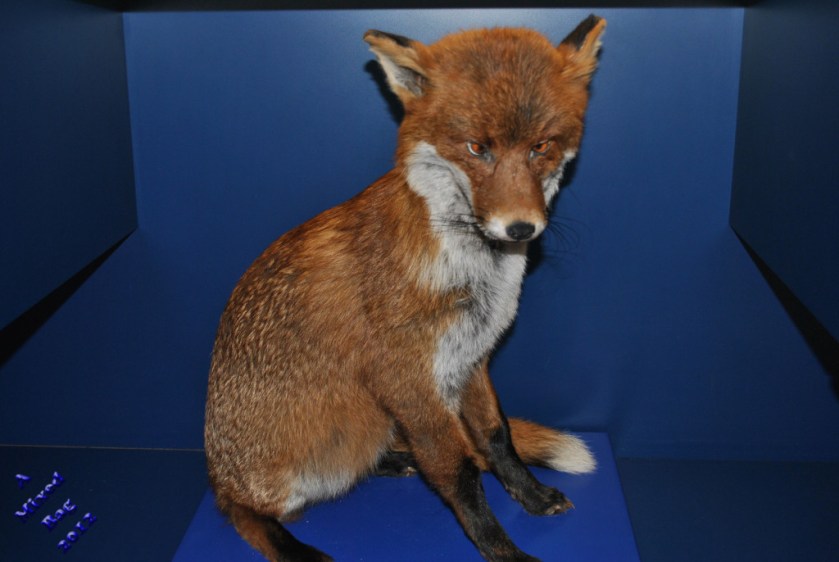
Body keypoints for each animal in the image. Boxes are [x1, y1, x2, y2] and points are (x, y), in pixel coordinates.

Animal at [205, 15, 606, 562]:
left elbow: (497, 440)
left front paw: (533, 496)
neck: (474, 274)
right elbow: (459, 471)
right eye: (477, 148)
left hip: (372, 421)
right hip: (310, 455)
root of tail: (215, 468)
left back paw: (390, 462)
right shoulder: (407, 380)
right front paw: (504, 550)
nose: (520, 227)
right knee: (244, 512)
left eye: (540, 146)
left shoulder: (469, 360)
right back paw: (291, 544)